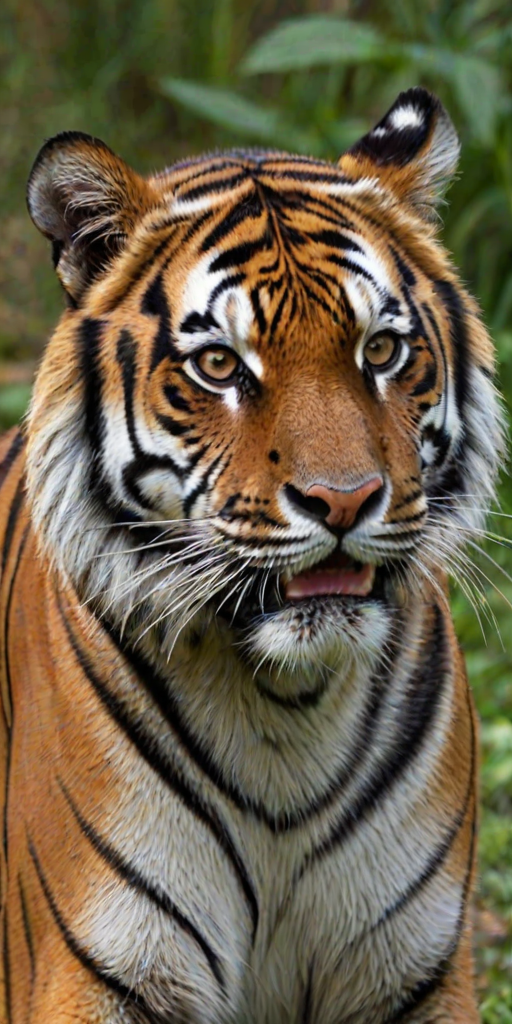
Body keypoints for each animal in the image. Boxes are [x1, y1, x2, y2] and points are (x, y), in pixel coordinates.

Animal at [0, 86, 505, 1023]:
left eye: (382, 350)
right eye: (219, 365)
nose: (342, 499)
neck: (286, 707)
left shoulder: (415, 970)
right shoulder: (102, 970)